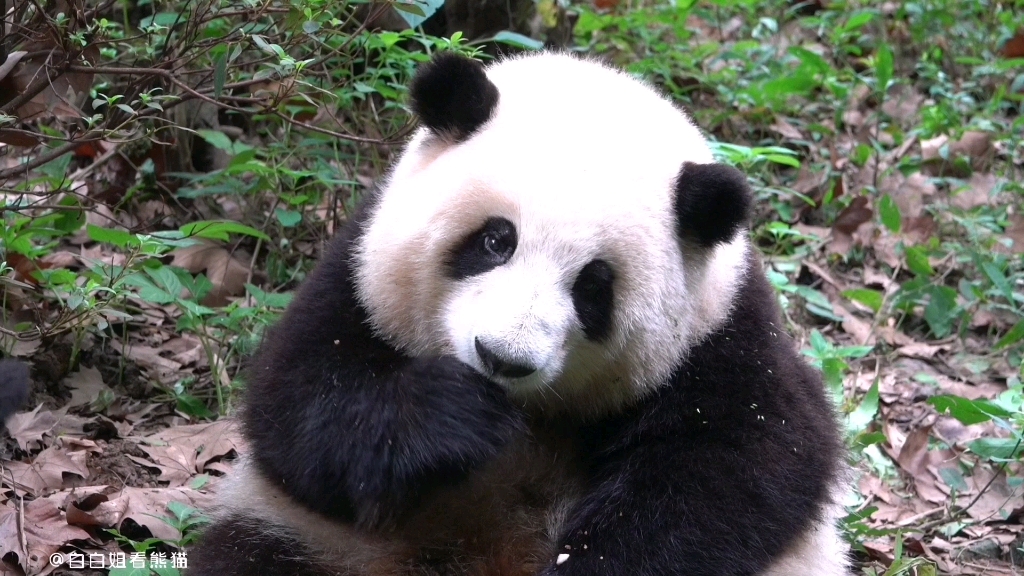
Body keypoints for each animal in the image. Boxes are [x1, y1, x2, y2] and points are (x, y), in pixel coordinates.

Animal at [188, 51, 851, 569]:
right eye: (495, 240)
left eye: (594, 287)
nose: (502, 358)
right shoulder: (357, 273)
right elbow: (299, 404)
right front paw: (454, 416)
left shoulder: (721, 334)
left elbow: (746, 465)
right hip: (310, 540)